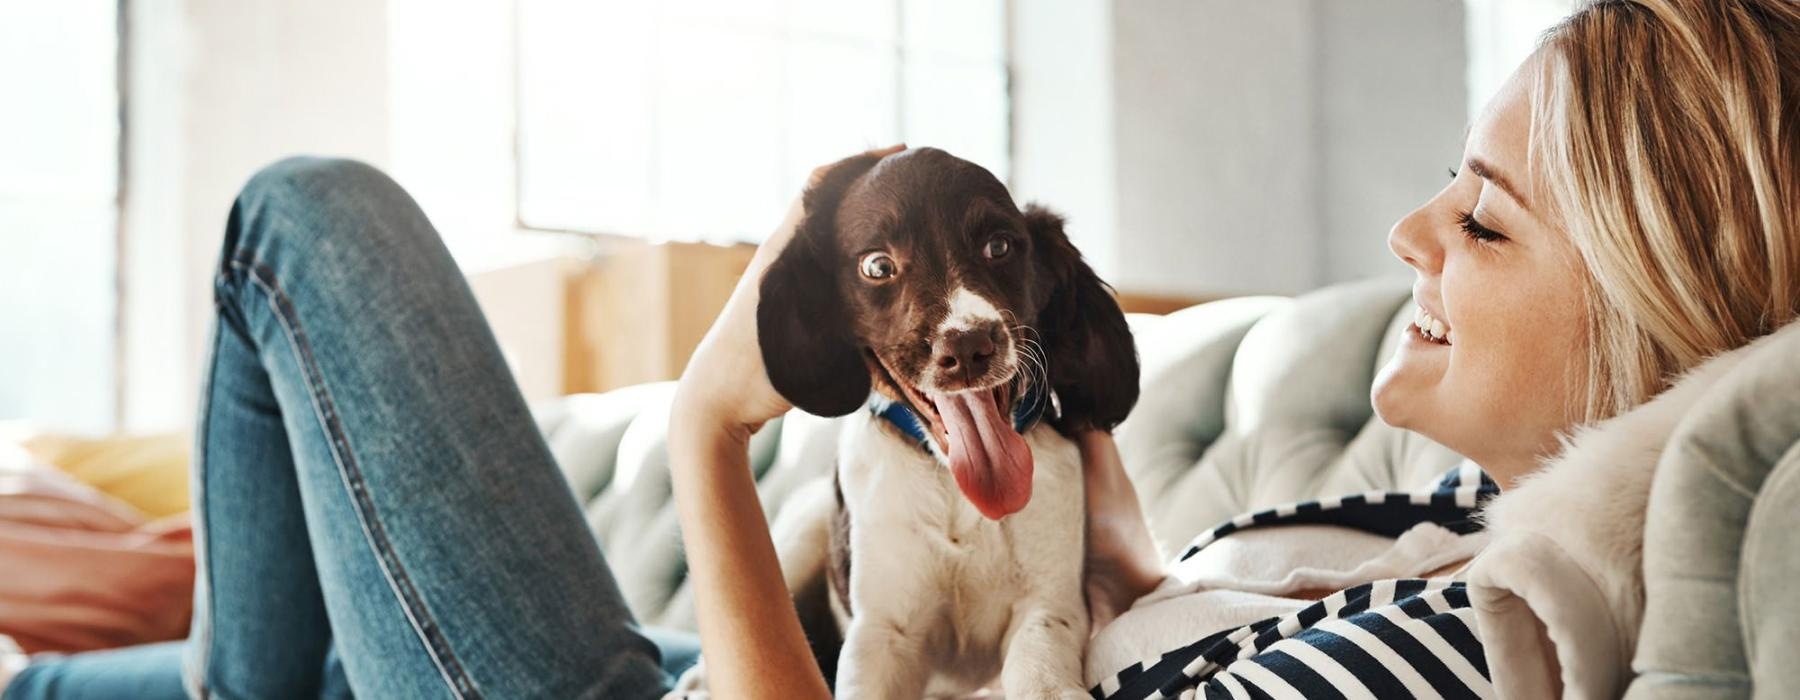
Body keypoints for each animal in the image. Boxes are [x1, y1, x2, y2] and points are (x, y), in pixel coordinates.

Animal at [752, 144, 1144, 694]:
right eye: (878, 265)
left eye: (999, 246)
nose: (969, 345)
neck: (955, 487)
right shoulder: (881, 634)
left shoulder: (1048, 607)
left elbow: (1040, 673)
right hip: (800, 532)